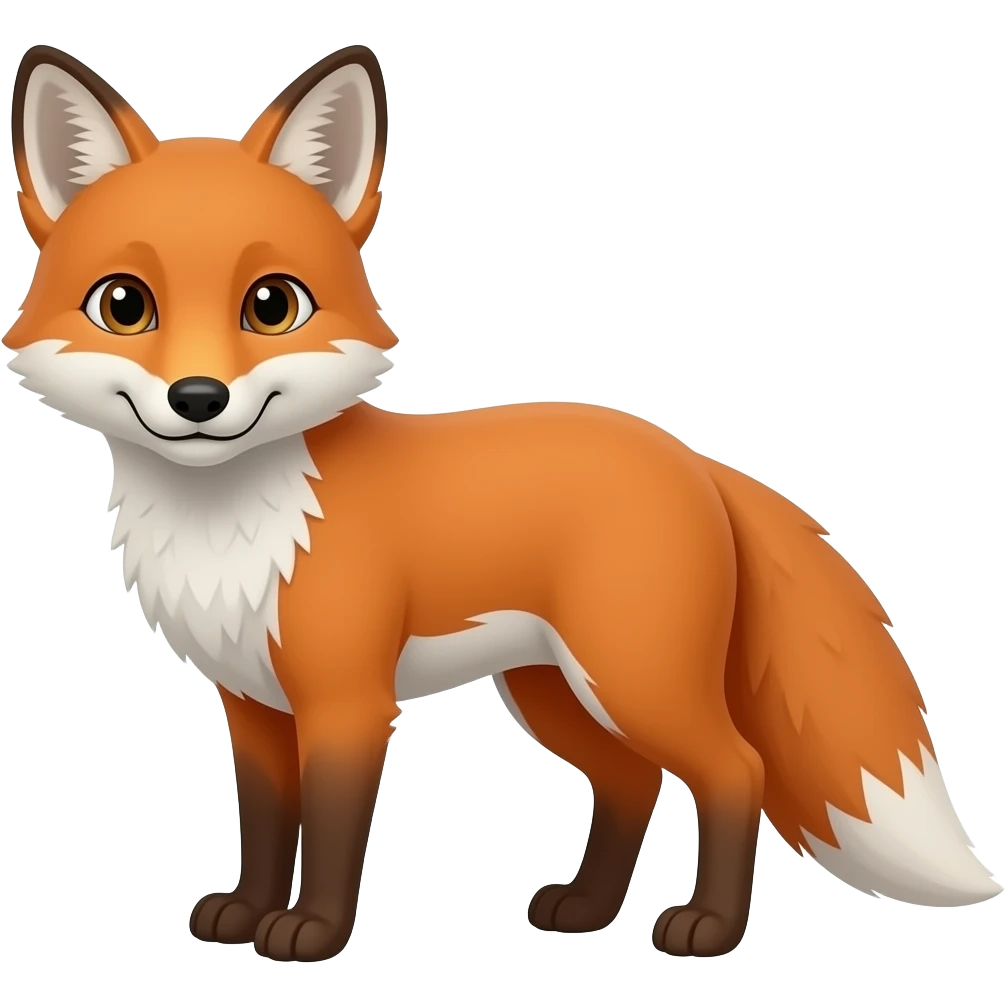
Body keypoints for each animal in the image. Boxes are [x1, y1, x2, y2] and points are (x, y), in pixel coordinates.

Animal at [5, 42, 1001, 964]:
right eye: (126, 306)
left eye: (272, 306)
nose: (199, 399)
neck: (231, 529)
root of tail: (688, 455)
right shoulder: (251, 704)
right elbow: (266, 823)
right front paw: (246, 915)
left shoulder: (348, 701)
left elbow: (329, 833)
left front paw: (311, 932)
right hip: (555, 691)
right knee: (633, 783)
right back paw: (588, 910)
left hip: (631, 677)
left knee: (734, 770)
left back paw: (709, 928)